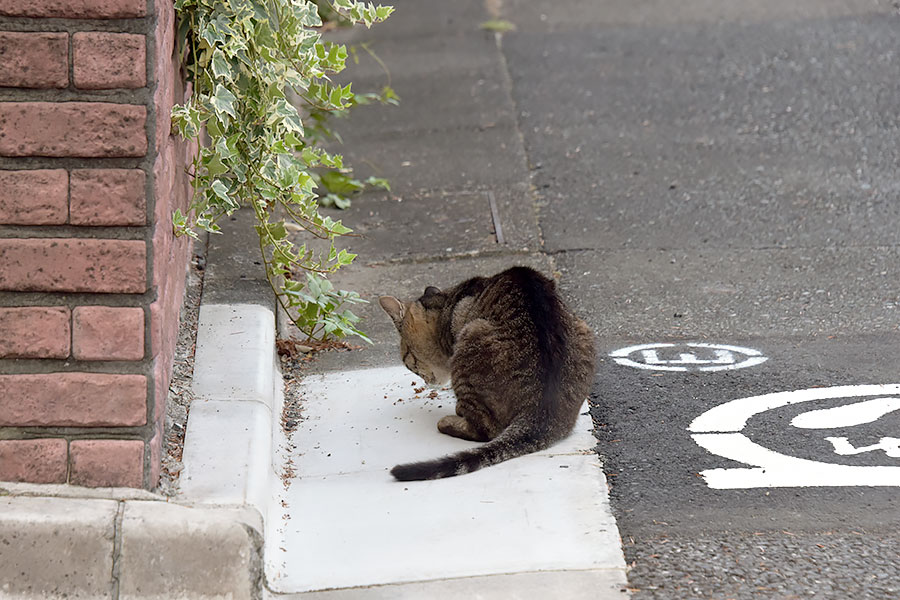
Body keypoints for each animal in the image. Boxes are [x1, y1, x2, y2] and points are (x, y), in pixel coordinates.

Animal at [380, 264, 596, 480]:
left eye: (407, 361)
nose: (425, 382)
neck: (446, 305)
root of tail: (541, 415)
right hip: (584, 328)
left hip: (470, 338)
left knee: (486, 429)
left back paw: (450, 421)